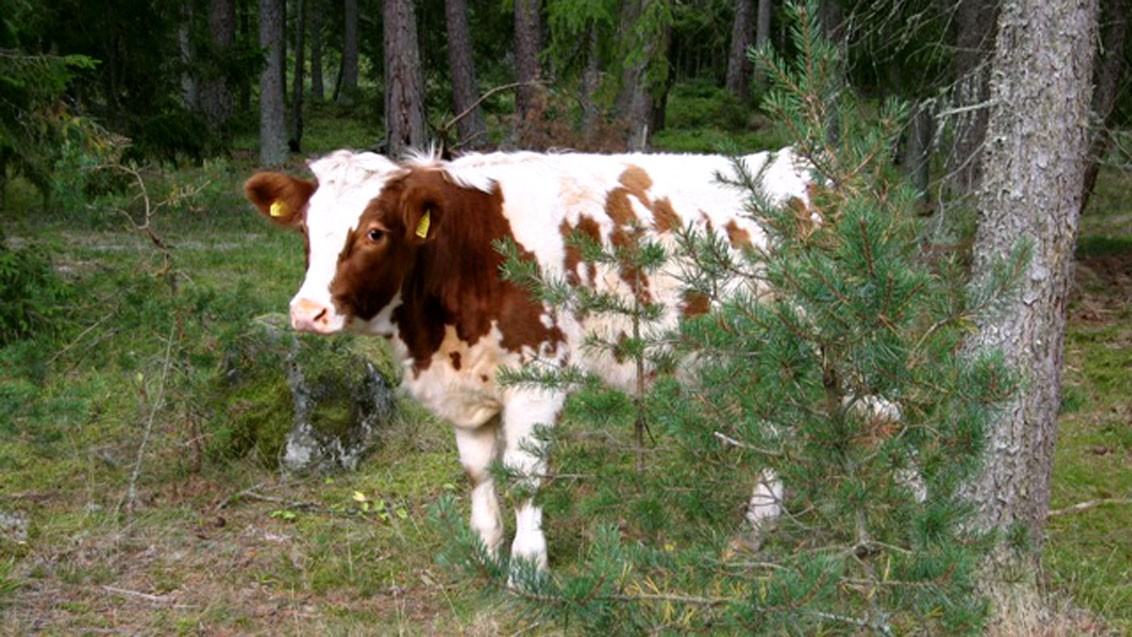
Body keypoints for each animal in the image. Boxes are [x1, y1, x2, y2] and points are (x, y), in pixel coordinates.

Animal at [245, 148, 815, 572]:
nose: (307, 312)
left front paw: (527, 567)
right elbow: (478, 472)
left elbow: (524, 474)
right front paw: (484, 551)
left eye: (374, 233)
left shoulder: (537, 375)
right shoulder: (467, 384)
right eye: (305, 230)